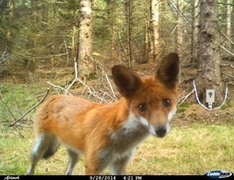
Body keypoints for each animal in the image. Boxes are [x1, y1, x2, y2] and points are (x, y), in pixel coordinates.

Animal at [25, 52, 180, 175]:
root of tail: (54, 96)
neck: (122, 140)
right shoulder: (93, 165)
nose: (161, 130)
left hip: (75, 155)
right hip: (37, 149)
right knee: (30, 169)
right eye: (142, 107)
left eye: (166, 102)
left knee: (68, 172)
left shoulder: (119, 165)